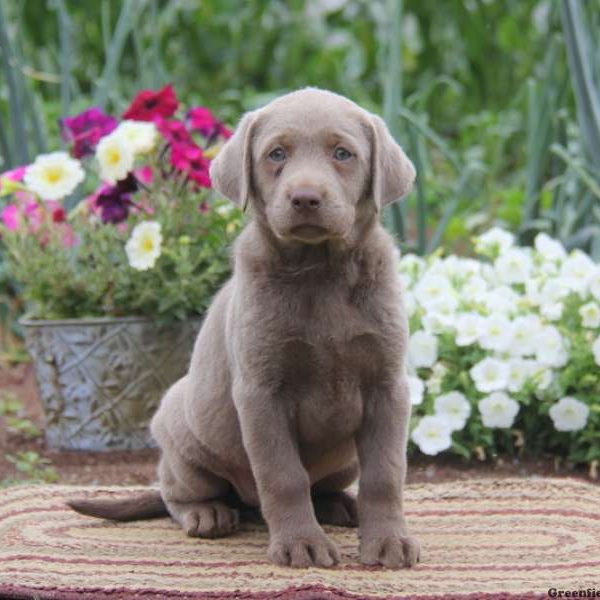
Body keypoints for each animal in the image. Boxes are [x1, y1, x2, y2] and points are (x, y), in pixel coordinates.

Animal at [68, 86, 420, 568]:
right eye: (276, 154)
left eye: (343, 153)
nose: (305, 197)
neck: (319, 271)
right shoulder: (260, 392)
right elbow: (283, 474)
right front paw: (301, 544)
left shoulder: (387, 386)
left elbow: (385, 473)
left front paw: (388, 541)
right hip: (180, 430)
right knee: (176, 491)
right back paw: (208, 514)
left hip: (345, 457)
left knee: (327, 484)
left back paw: (338, 504)